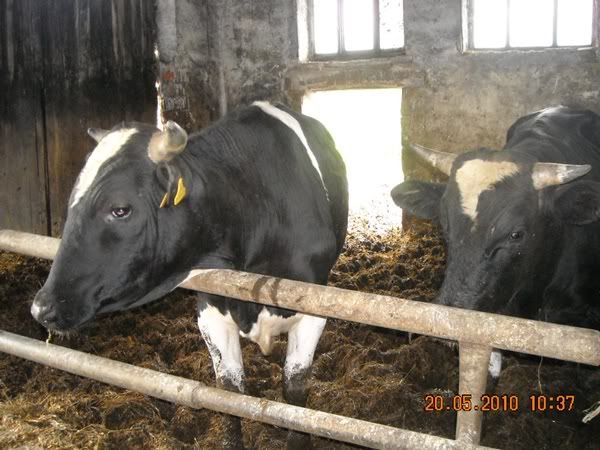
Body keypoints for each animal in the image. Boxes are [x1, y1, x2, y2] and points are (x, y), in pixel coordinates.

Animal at [30, 102, 348, 449]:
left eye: (120, 209)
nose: (41, 307)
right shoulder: (210, 309)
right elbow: (230, 392)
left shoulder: (314, 310)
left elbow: (295, 393)